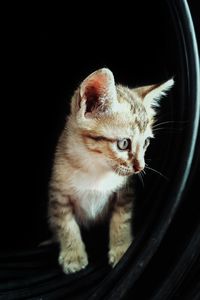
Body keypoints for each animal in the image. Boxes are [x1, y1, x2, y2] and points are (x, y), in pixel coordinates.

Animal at [48, 68, 173, 274]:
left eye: (146, 143)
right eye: (123, 144)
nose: (140, 167)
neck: (94, 169)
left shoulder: (125, 192)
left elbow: (121, 220)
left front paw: (121, 249)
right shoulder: (58, 193)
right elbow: (65, 223)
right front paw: (73, 255)